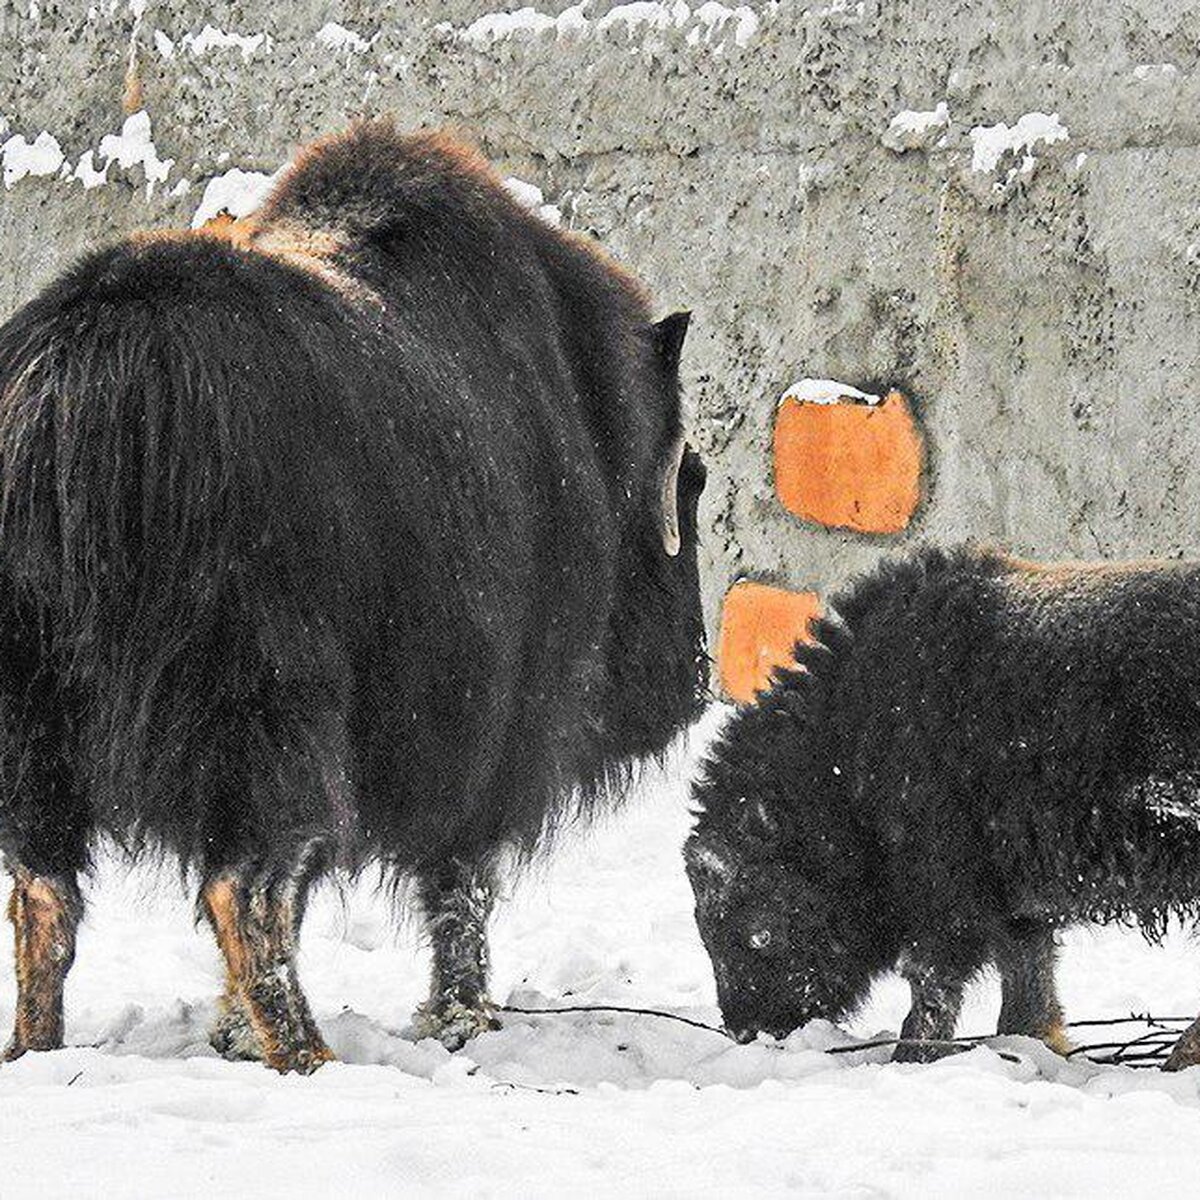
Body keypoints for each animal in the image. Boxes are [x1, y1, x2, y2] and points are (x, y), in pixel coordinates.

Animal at [0, 121, 705, 1075]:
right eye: (690, 482)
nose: (696, 678)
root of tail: (77, 394)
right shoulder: (491, 734)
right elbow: (458, 883)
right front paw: (459, 1018)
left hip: (36, 729)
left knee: (45, 893)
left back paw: (36, 1050)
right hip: (259, 706)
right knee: (243, 887)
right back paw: (308, 1055)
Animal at [691, 547, 1200, 1070]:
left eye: (761, 932)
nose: (748, 1030)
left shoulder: (942, 890)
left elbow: (932, 979)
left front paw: (909, 1057)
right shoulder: (1012, 901)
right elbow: (1025, 972)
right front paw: (1030, 1043)